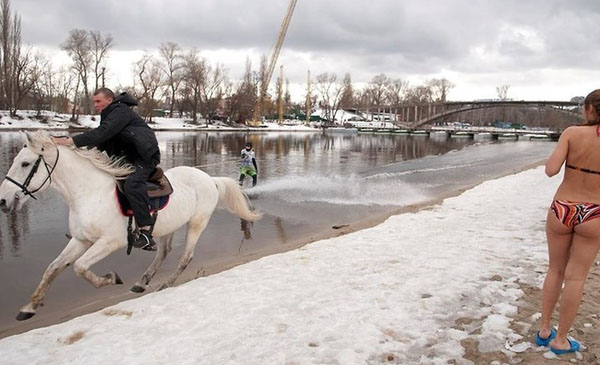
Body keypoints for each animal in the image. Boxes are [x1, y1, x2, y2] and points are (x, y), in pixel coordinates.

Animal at [0, 131, 262, 318]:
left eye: (25, 164)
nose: (3, 201)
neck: (89, 193)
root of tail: (210, 179)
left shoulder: (110, 242)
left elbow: (80, 267)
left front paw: (111, 278)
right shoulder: (81, 240)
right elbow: (53, 268)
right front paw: (30, 306)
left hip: (197, 223)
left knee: (185, 257)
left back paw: (165, 284)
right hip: (168, 226)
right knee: (163, 252)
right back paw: (142, 282)